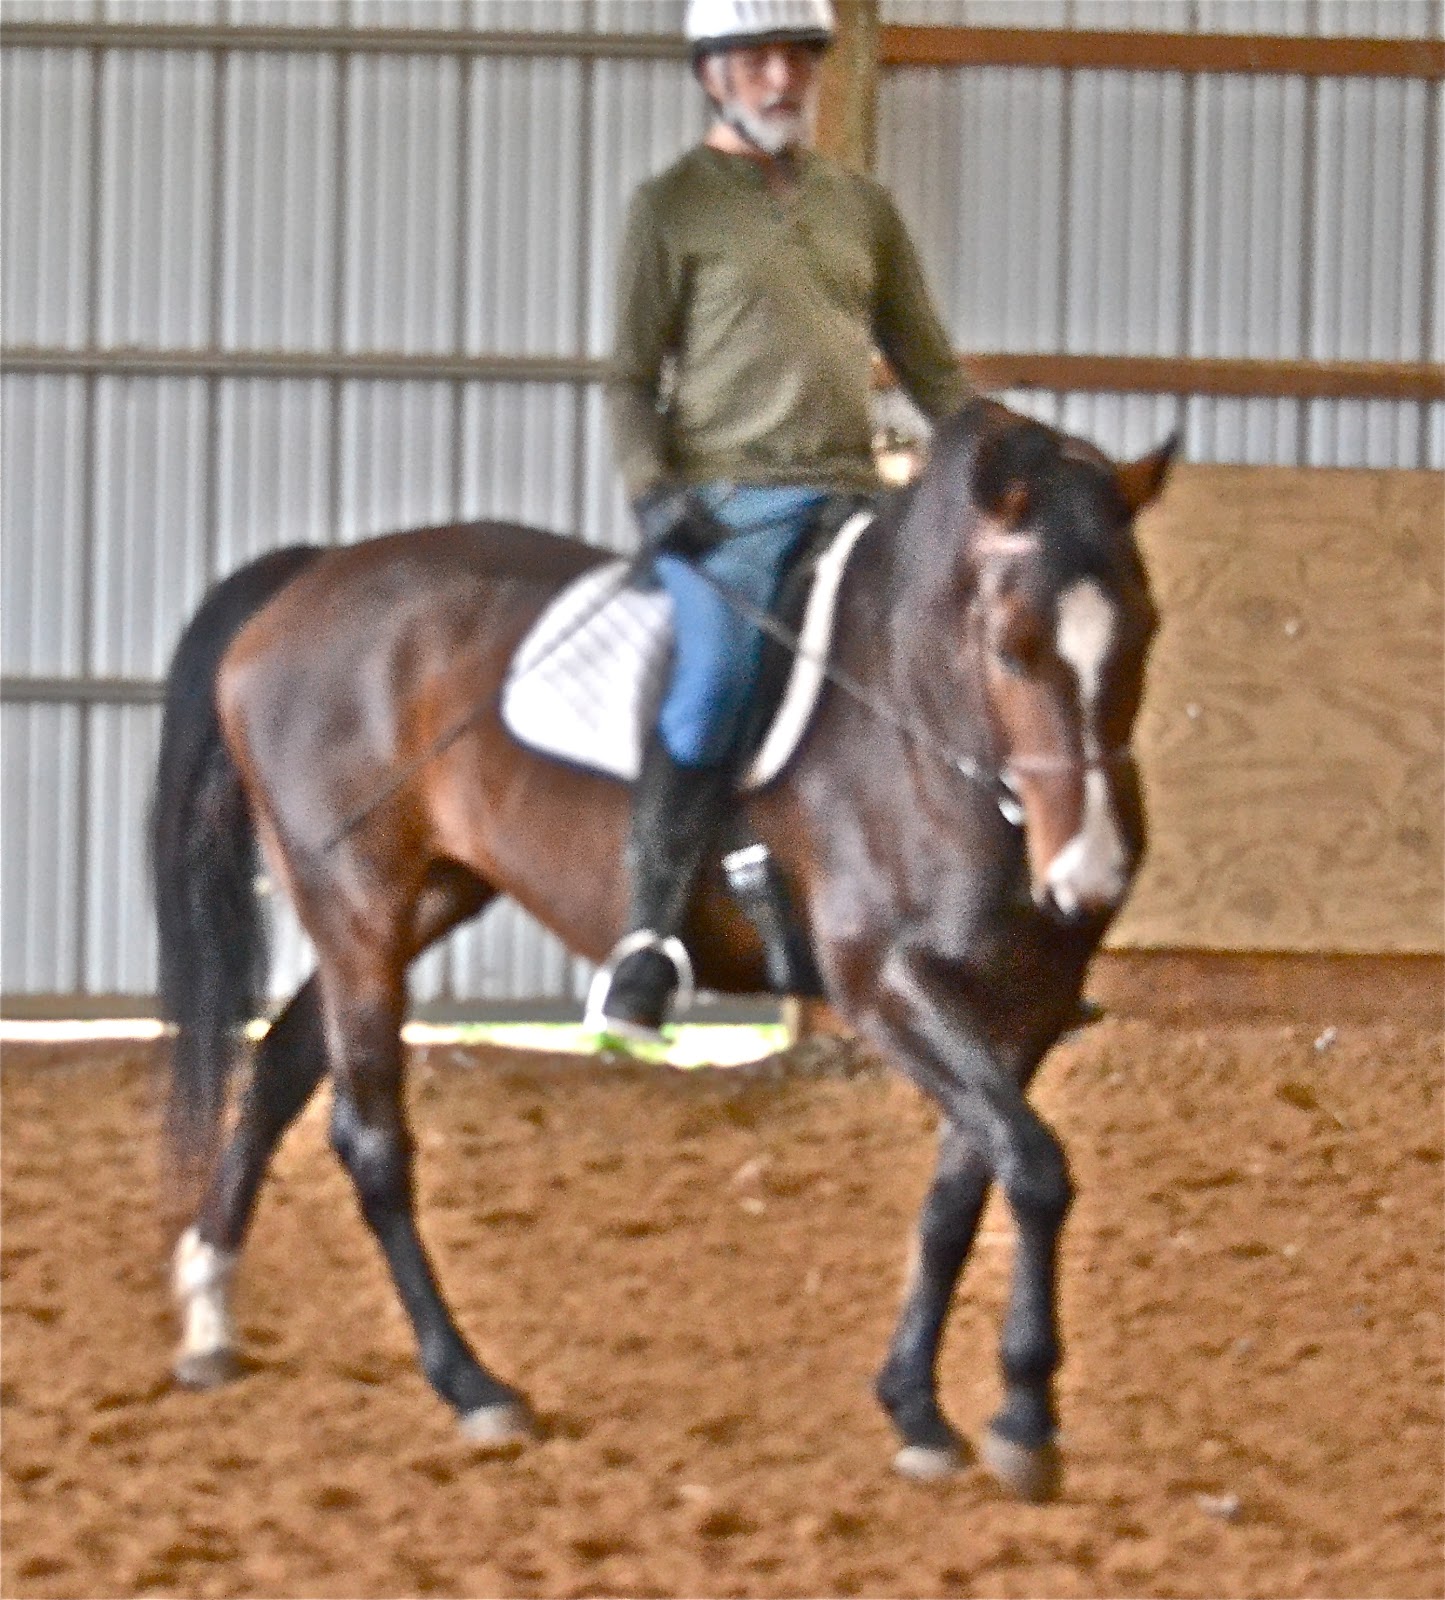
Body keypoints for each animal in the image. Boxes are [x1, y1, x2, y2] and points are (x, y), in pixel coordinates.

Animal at [152, 397, 1175, 1500]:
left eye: (1144, 630)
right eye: (1012, 645)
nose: (1087, 878)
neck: (922, 721)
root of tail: (309, 577)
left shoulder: (1018, 1008)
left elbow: (965, 1191)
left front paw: (918, 1407)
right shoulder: (884, 984)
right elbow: (1033, 1167)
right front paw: (1023, 1417)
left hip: (422, 899)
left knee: (279, 1065)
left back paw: (209, 1317)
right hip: (356, 903)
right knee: (369, 1138)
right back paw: (472, 1386)